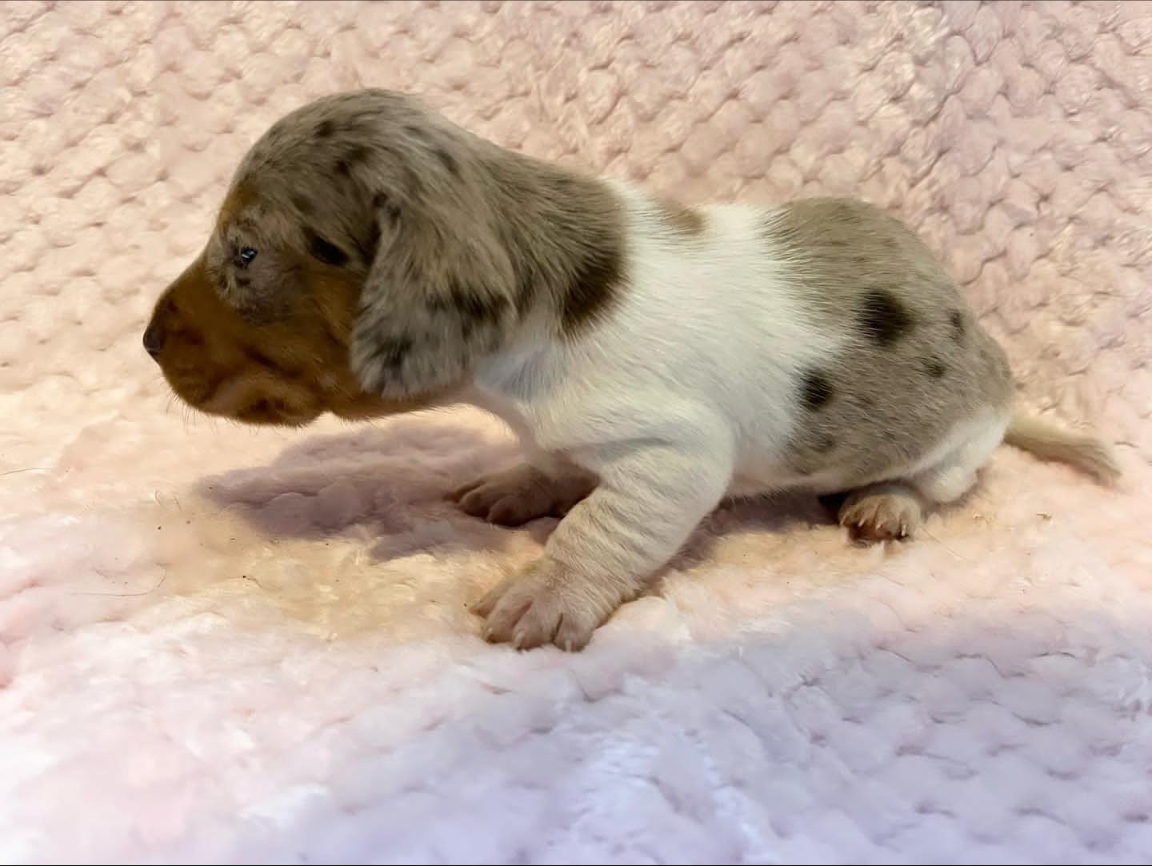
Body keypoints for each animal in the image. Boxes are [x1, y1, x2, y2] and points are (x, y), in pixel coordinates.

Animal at [141, 91, 1115, 654]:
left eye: (245, 253)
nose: (145, 340)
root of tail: (995, 366)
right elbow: (552, 465)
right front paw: (518, 485)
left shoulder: (675, 454)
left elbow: (602, 527)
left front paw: (547, 593)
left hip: (959, 439)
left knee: (940, 483)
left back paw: (888, 503)